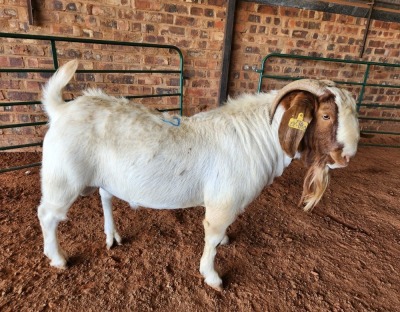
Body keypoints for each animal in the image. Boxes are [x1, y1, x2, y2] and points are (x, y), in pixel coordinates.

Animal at [37, 60, 360, 290]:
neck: (256, 136)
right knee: (48, 214)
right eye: (326, 116)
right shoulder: (222, 203)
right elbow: (212, 238)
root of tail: (61, 109)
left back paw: (112, 236)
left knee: (104, 196)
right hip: (62, 178)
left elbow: (220, 237)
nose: (348, 156)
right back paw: (57, 258)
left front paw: (227, 242)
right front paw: (212, 277)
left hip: (101, 177)